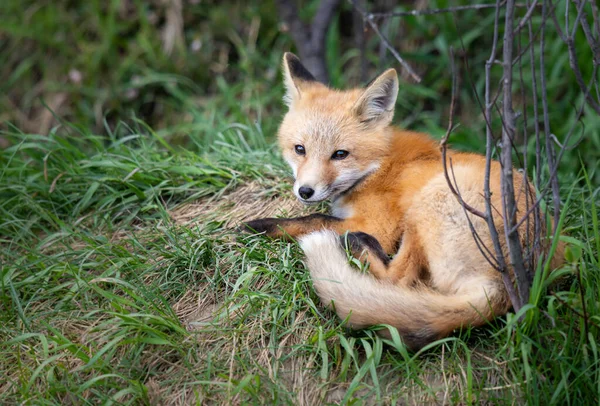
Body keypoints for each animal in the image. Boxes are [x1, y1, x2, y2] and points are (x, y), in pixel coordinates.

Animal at [243, 52, 564, 350]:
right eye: (300, 149)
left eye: (340, 154)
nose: (305, 191)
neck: (377, 168)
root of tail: (508, 284)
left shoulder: (378, 225)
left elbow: (315, 219)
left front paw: (261, 226)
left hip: (426, 203)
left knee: (398, 279)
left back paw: (357, 244)